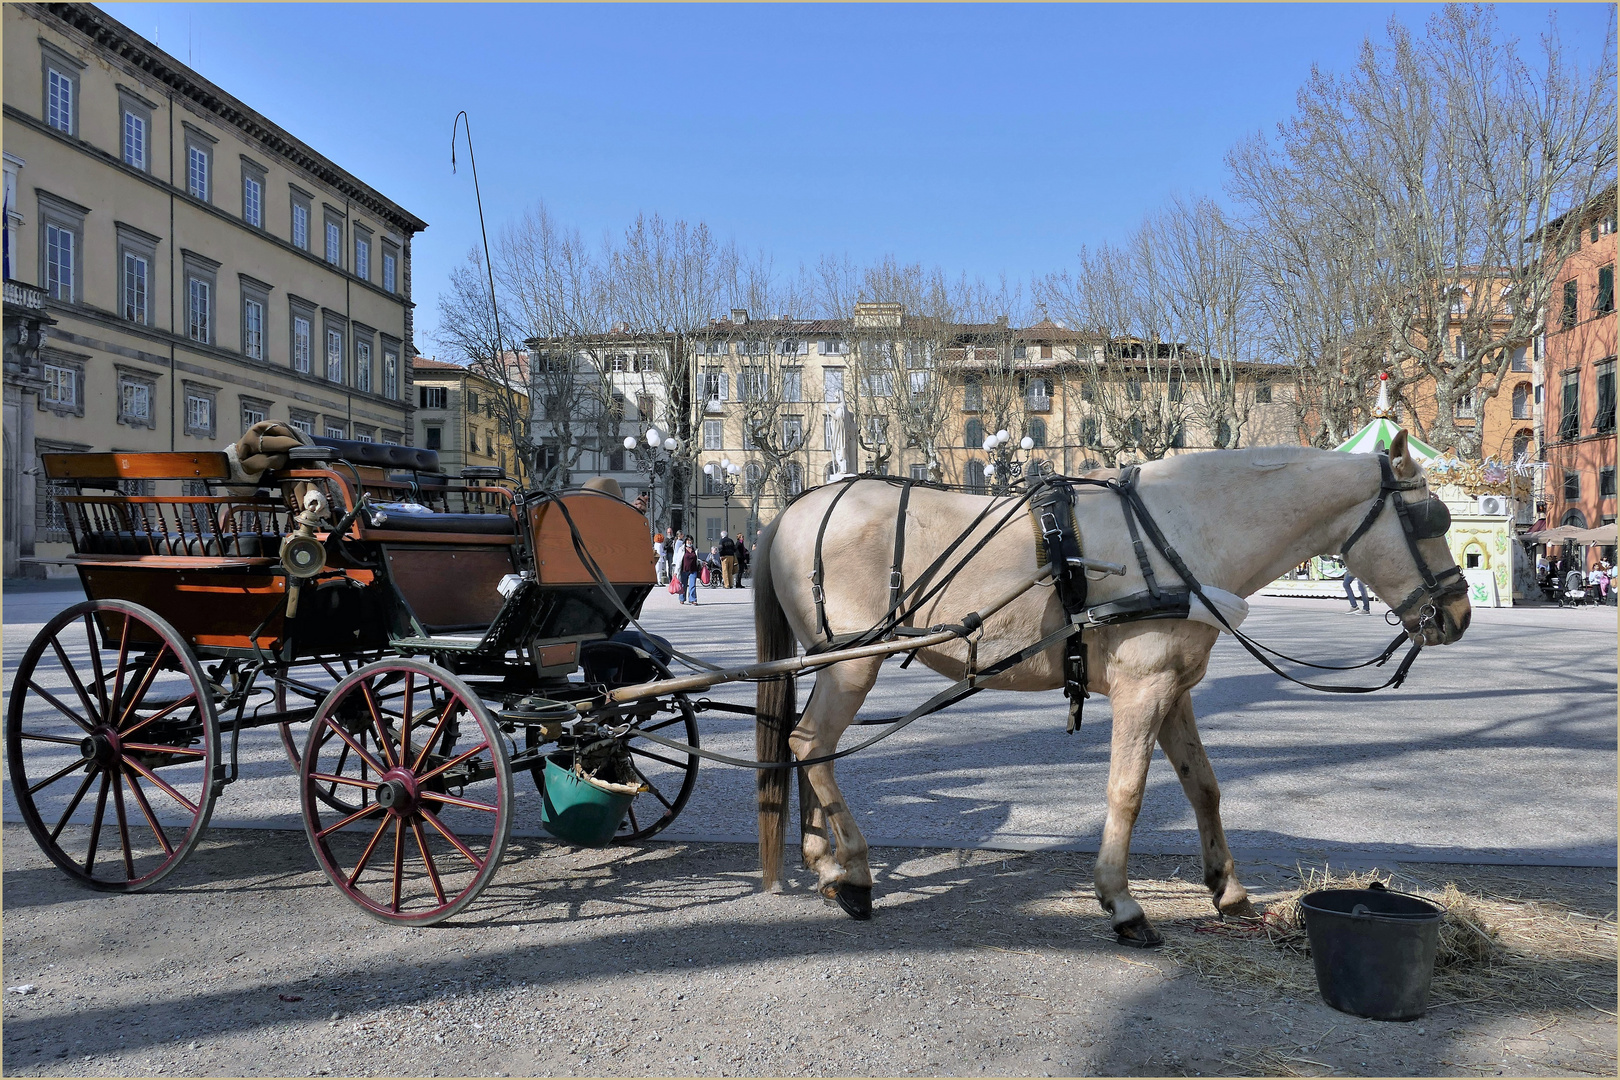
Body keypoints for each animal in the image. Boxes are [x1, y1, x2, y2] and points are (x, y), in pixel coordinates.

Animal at [751, 433, 1477, 945]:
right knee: (811, 743)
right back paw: (852, 873)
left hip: (832, 664)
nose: (1461, 613)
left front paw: (1228, 890)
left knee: (805, 749)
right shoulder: (1143, 687)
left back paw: (822, 861)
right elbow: (1127, 791)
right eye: (1432, 519)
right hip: (851, 663)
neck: (1182, 531)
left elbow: (1203, 785)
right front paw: (1122, 903)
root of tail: (792, 507)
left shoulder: (1175, 687)